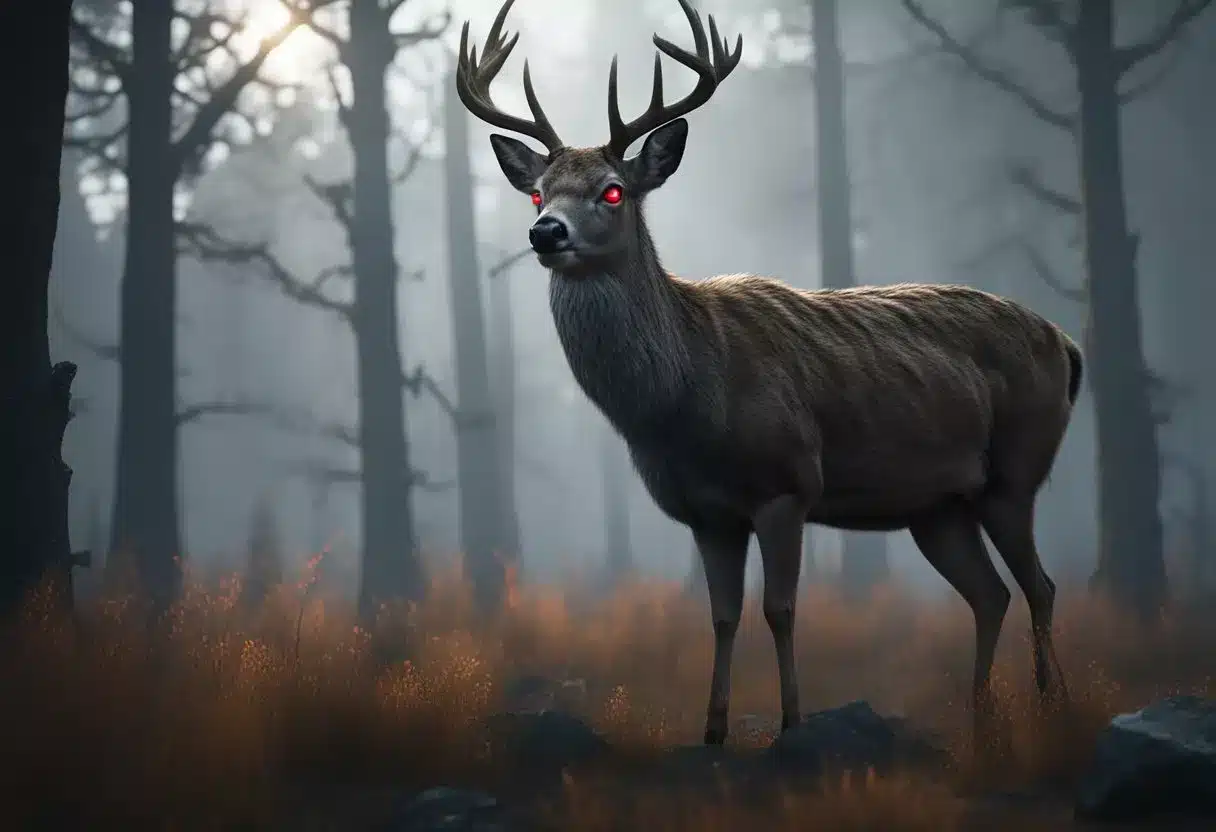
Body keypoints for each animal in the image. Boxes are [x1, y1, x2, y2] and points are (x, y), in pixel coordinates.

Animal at [456, 0, 1080, 749]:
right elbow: (722, 615)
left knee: (1040, 584)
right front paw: (713, 729)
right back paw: (981, 716)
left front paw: (791, 722)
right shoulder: (704, 512)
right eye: (537, 194)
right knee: (991, 593)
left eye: (611, 190)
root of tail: (1068, 345)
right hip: (935, 506)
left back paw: (1050, 704)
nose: (546, 232)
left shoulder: (789, 482)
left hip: (1016, 468)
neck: (685, 407)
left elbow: (779, 609)